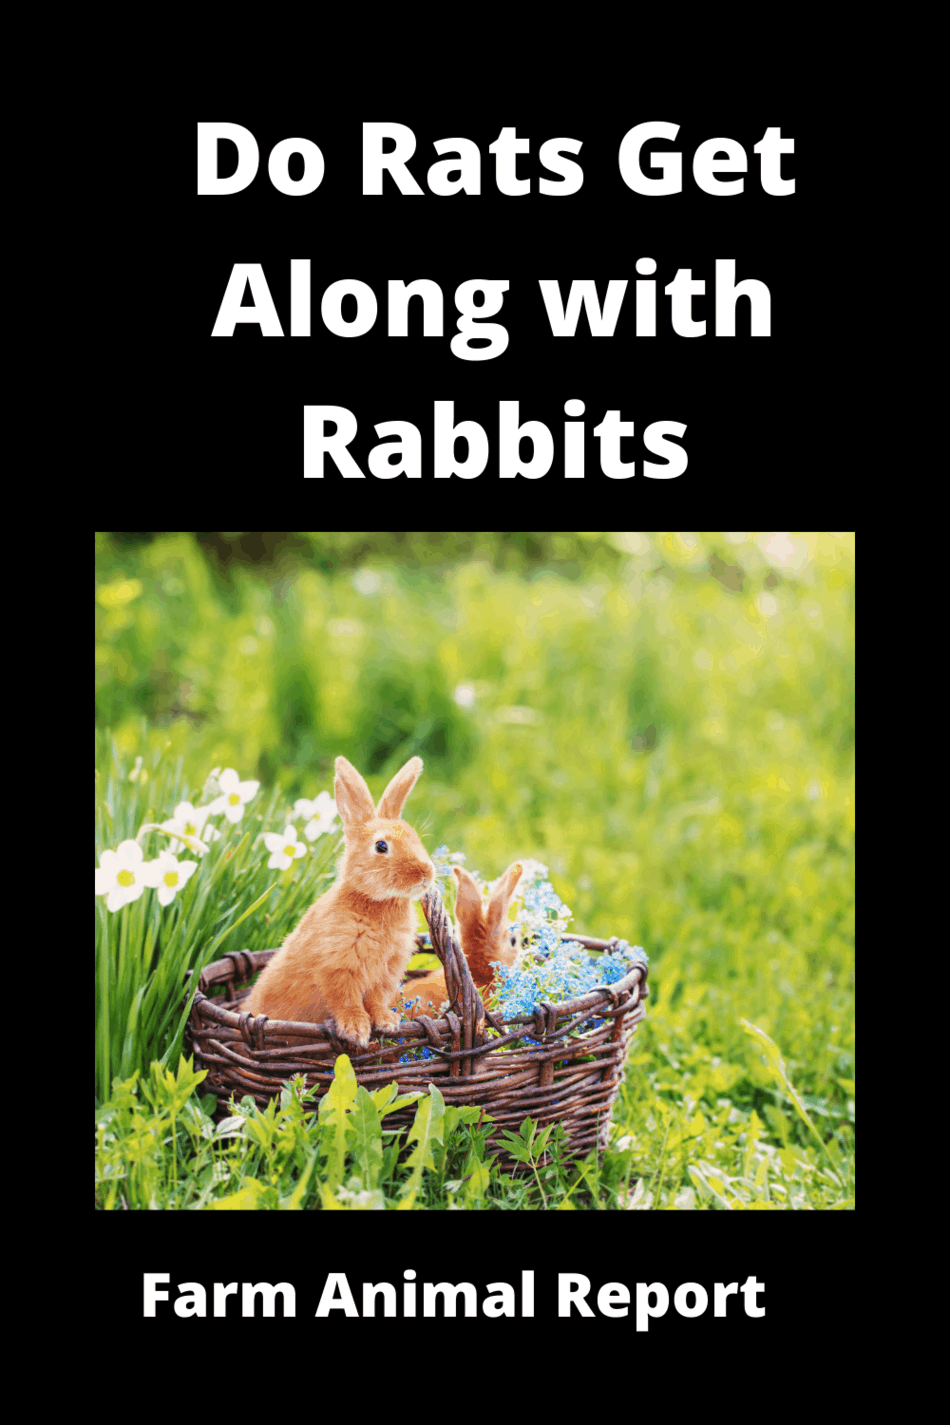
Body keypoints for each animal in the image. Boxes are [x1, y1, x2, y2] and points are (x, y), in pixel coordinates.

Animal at [243, 755, 436, 1047]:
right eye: (381, 846)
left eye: (414, 837)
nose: (425, 872)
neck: (375, 901)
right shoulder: (338, 966)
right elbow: (347, 1000)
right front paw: (356, 1031)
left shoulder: (386, 972)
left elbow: (376, 999)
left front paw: (388, 1023)